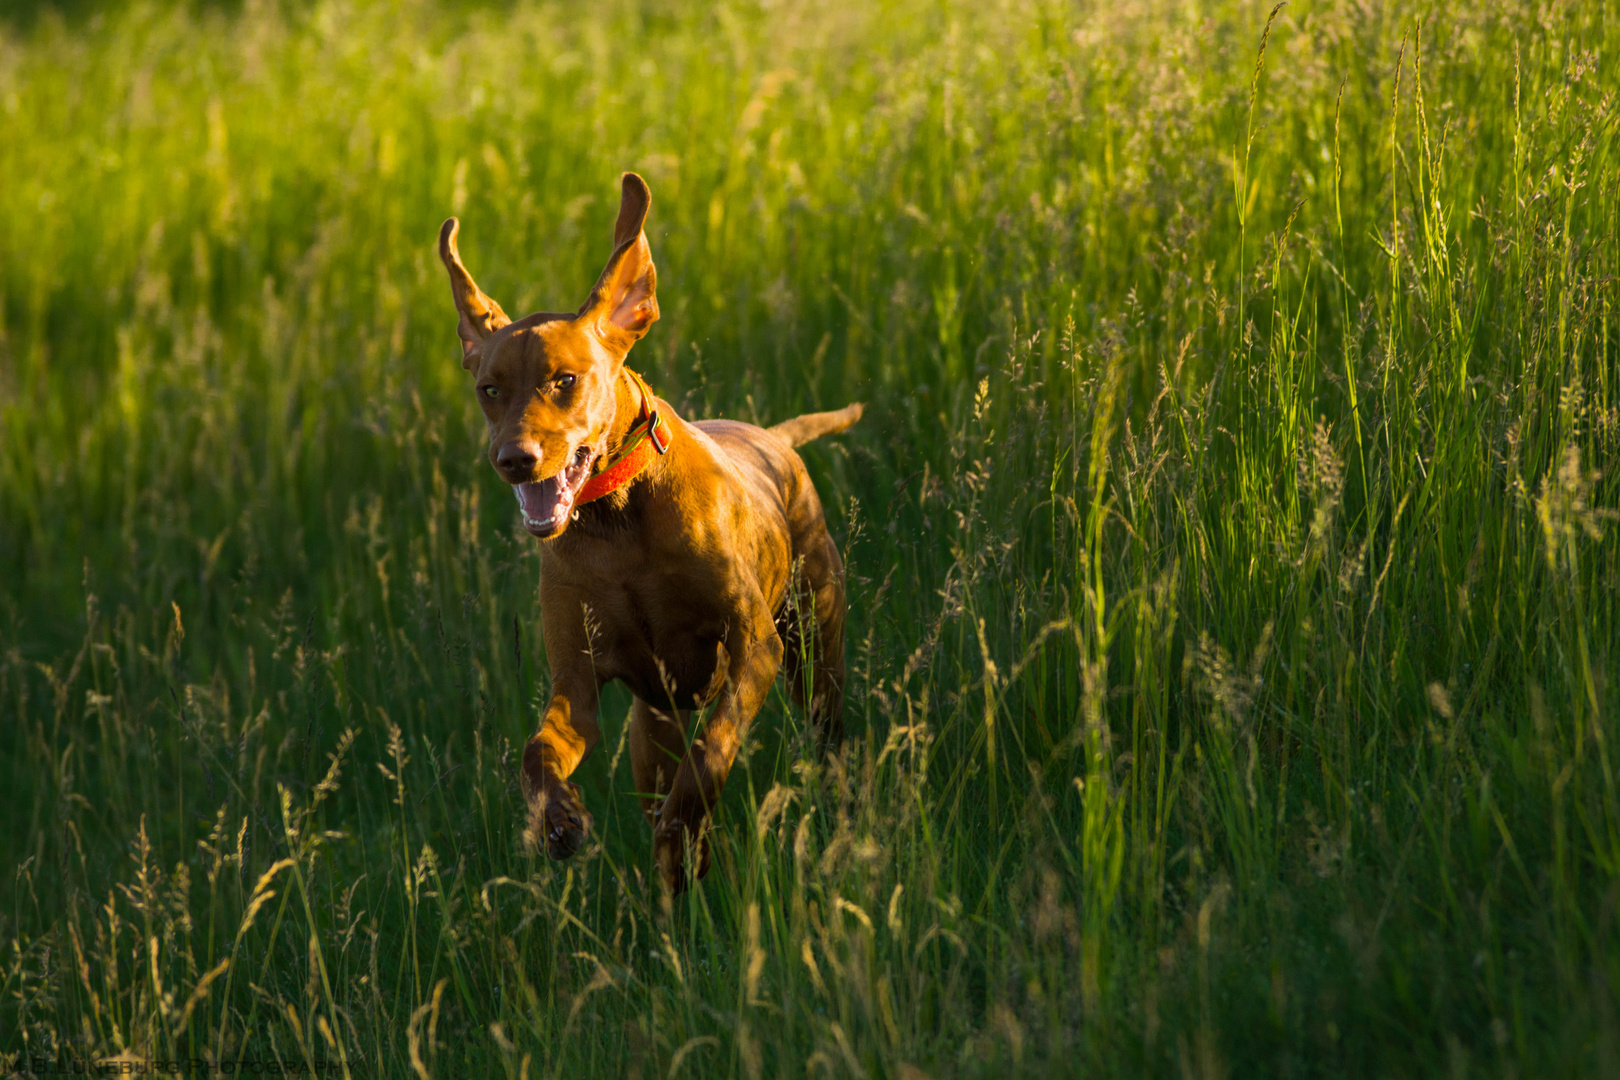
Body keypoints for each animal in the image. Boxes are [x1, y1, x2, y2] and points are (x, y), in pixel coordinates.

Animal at [430, 173, 861, 893]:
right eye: (490, 388)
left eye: (565, 380)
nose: (514, 459)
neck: (618, 525)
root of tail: (774, 437)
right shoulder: (577, 685)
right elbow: (536, 754)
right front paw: (559, 818)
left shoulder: (755, 649)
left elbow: (711, 751)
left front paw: (686, 818)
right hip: (650, 726)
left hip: (814, 653)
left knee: (825, 735)